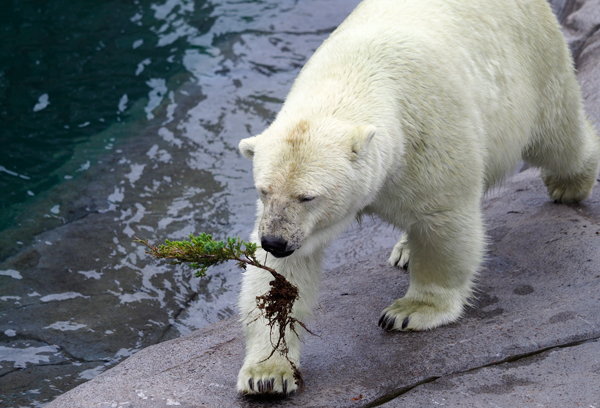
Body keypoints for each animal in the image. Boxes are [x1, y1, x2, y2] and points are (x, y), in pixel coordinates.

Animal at [236, 0, 600, 396]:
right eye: (264, 190)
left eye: (307, 196)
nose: (275, 241)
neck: (356, 73)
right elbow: (281, 274)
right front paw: (266, 374)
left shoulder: (428, 132)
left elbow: (443, 219)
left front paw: (409, 311)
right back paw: (405, 249)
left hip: (534, 63)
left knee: (558, 137)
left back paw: (571, 183)